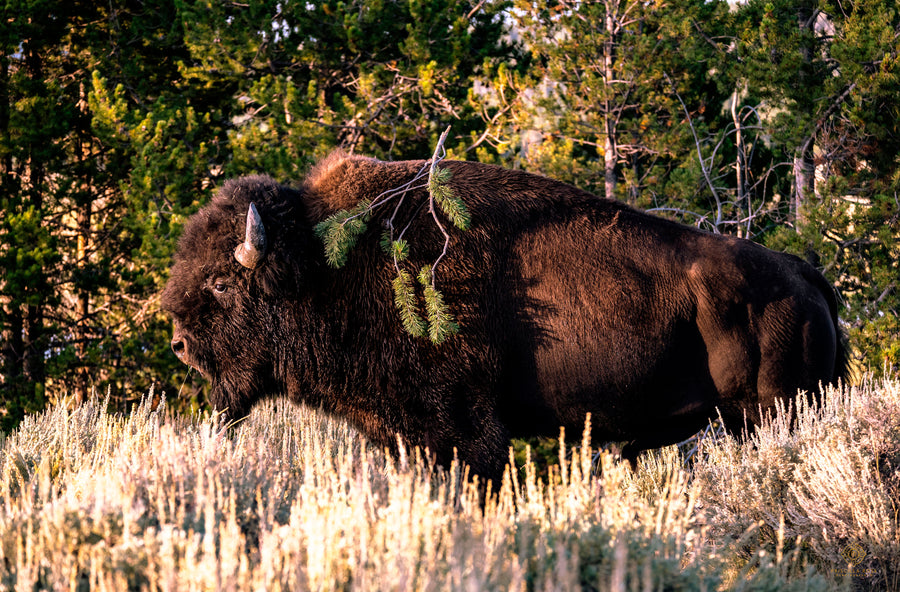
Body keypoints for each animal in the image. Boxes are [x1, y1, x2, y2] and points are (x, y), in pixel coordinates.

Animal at [162, 151, 844, 480]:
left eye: (222, 283)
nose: (179, 345)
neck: (325, 264)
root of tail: (803, 276)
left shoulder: (461, 429)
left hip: (767, 412)